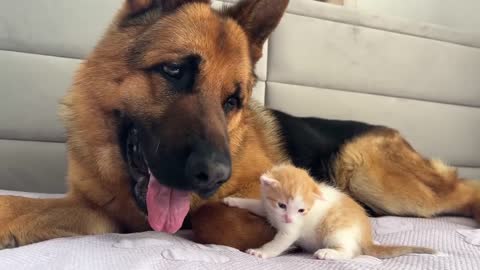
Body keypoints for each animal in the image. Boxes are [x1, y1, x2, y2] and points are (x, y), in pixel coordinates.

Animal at [223, 163, 434, 260]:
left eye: (301, 210)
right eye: (282, 205)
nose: (288, 218)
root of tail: (365, 237)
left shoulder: (292, 229)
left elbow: (280, 241)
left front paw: (261, 252)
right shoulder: (268, 208)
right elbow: (256, 204)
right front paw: (232, 200)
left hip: (337, 231)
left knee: (351, 252)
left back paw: (328, 253)